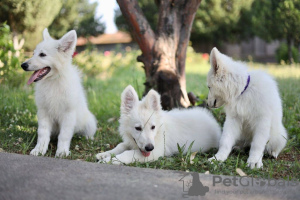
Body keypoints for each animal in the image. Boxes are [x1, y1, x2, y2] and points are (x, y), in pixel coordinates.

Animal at [21, 28, 96, 156]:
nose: (23, 65)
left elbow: (64, 135)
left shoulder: (68, 114)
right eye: (33, 54)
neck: (53, 81)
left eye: (42, 54)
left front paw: (62, 152)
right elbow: (42, 133)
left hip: (88, 122)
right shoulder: (43, 112)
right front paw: (39, 149)